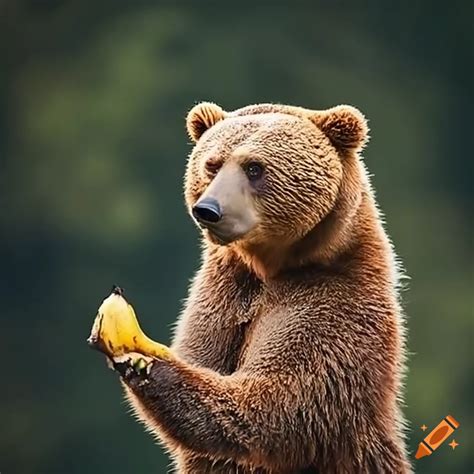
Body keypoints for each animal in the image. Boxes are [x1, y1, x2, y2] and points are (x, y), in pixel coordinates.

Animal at [115, 102, 412, 472]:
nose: (208, 210)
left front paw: (150, 365)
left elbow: (278, 402)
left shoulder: (331, 304)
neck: (271, 267)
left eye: (254, 167)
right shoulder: (223, 291)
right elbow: (204, 353)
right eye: (212, 164)